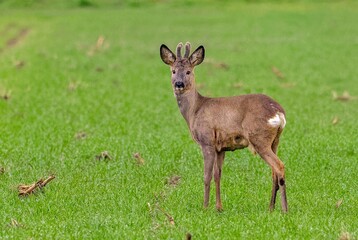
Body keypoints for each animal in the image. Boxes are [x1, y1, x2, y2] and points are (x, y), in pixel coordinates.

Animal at [159, 42, 288, 213]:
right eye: (173, 71)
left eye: (188, 71)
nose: (179, 84)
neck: (194, 110)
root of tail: (278, 112)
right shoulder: (221, 147)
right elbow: (217, 175)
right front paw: (219, 207)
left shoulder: (207, 141)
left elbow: (206, 176)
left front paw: (205, 206)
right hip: (275, 140)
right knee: (274, 171)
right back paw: (271, 208)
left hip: (259, 138)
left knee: (279, 166)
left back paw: (284, 209)